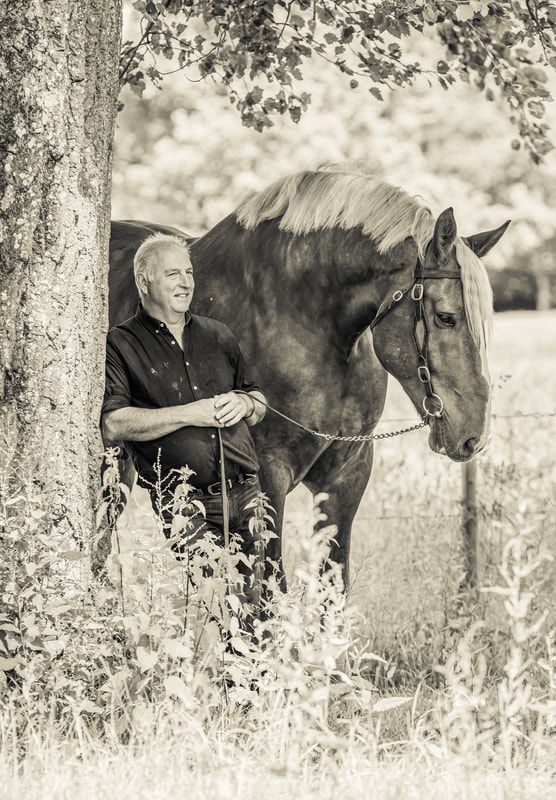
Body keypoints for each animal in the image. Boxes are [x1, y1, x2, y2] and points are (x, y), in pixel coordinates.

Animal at [109, 165, 509, 587]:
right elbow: (268, 588)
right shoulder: (267, 478)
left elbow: (333, 584)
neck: (303, 317)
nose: (474, 436)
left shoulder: (347, 473)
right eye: (446, 317)